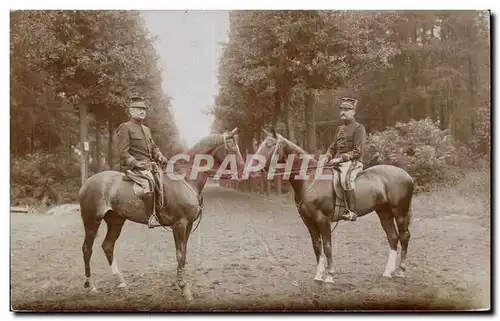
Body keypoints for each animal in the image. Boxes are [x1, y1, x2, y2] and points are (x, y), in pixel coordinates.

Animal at [76, 127, 246, 300]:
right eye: (232, 149)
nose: (243, 170)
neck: (185, 180)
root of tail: (87, 183)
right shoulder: (179, 224)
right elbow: (180, 254)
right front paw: (184, 287)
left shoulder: (188, 225)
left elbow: (183, 254)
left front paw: (181, 284)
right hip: (92, 220)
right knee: (87, 249)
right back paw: (90, 286)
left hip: (116, 220)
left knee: (108, 246)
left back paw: (121, 283)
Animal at [250, 127, 414, 282]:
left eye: (269, 144)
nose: (252, 166)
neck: (310, 179)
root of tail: (407, 176)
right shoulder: (309, 221)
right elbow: (317, 246)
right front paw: (318, 275)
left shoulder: (323, 220)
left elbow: (327, 247)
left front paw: (329, 275)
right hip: (384, 212)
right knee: (393, 237)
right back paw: (387, 273)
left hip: (399, 212)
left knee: (404, 236)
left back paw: (401, 271)